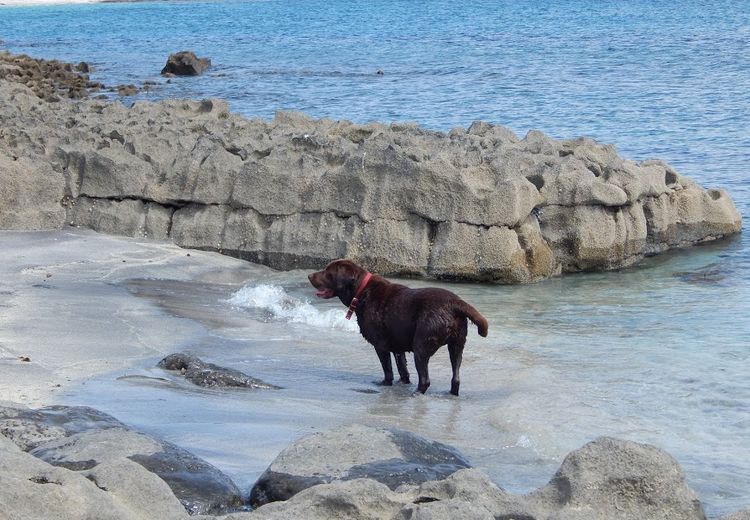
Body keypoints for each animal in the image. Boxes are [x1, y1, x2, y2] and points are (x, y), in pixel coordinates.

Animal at [308, 258, 490, 396]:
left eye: (327, 271)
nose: (309, 275)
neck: (361, 291)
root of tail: (455, 303)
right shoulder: (398, 346)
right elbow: (402, 368)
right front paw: (403, 382)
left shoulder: (381, 345)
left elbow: (388, 369)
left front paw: (385, 383)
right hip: (457, 346)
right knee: (456, 377)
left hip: (421, 346)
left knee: (425, 379)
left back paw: (416, 393)